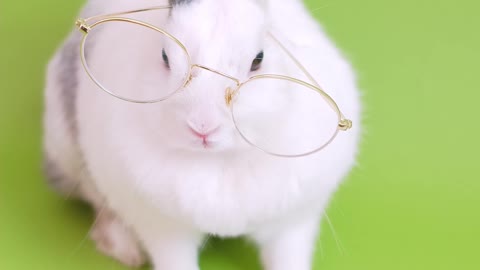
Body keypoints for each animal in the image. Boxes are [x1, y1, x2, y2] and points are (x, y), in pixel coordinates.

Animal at [44, 0, 360, 268]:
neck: (219, 161)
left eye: (258, 60)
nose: (202, 127)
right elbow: (174, 260)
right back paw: (125, 250)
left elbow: (288, 257)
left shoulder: (293, 224)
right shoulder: (163, 229)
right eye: (164, 57)